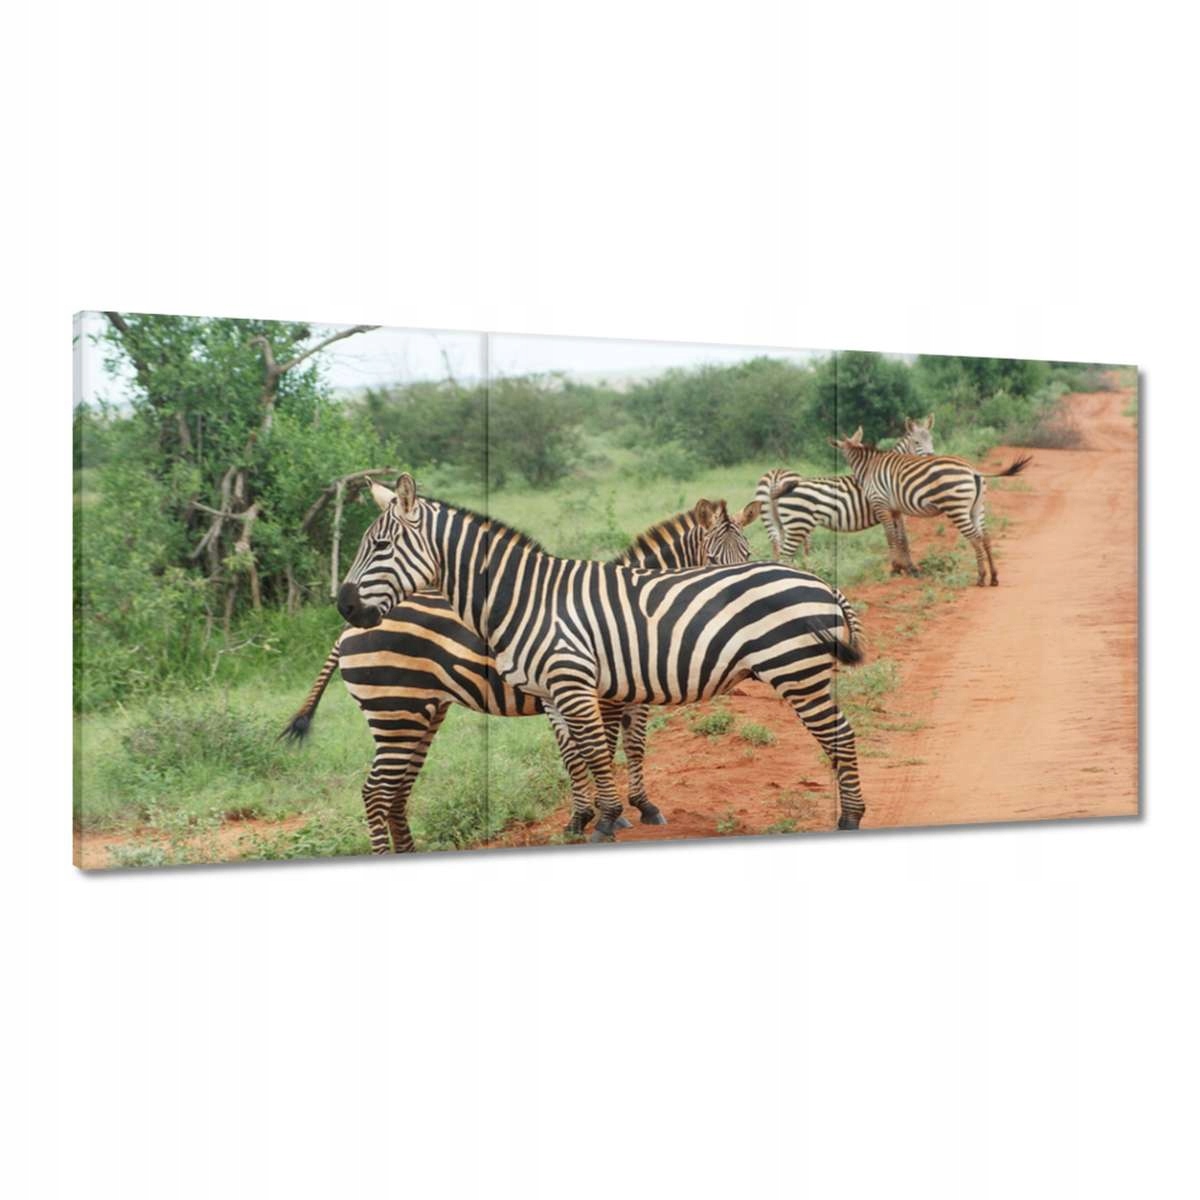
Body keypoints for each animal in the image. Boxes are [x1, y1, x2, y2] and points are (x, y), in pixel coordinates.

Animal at [282, 497, 761, 853]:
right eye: (714, 559)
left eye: (749, 556)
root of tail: (348, 628)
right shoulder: (604, 694)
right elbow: (606, 748)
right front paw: (614, 812)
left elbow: (619, 748)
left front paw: (615, 811)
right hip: (394, 708)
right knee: (378, 792)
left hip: (421, 713)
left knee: (396, 792)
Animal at [755, 414, 937, 568]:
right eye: (916, 443)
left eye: (931, 439)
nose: (931, 458)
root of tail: (776, 479)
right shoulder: (893, 508)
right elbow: (901, 538)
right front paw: (905, 567)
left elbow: (901, 538)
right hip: (798, 524)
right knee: (787, 556)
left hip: (777, 523)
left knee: (778, 550)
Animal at [831, 427, 1032, 586]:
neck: (869, 467)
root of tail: (973, 471)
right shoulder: (896, 509)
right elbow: (901, 537)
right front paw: (905, 568)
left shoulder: (881, 505)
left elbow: (890, 537)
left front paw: (894, 568)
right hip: (977, 508)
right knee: (986, 538)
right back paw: (994, 577)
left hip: (957, 508)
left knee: (975, 538)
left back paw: (981, 577)